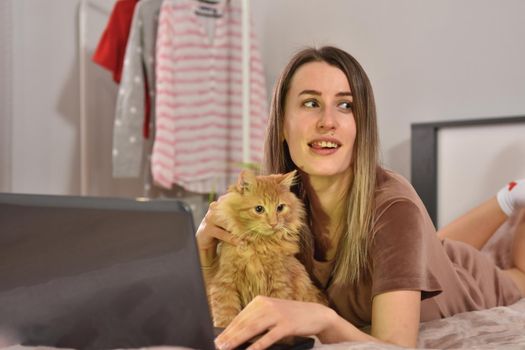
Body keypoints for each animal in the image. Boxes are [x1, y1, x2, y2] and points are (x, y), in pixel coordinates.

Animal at [207, 170, 326, 328]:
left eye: (280, 208)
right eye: (259, 209)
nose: (273, 223)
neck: (260, 245)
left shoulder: (280, 283)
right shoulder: (224, 283)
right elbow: (225, 318)